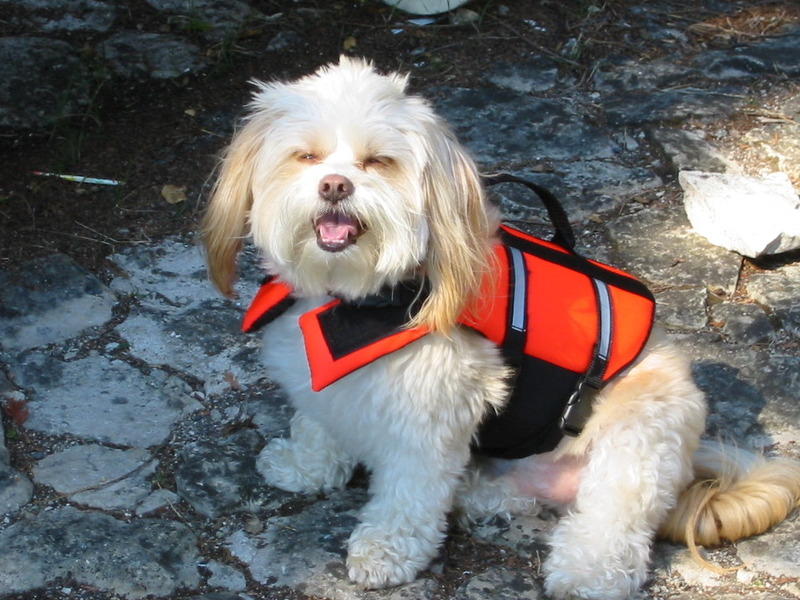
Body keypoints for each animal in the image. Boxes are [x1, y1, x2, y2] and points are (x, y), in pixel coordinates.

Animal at [203, 57, 800, 600]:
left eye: (379, 162)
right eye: (306, 156)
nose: (334, 186)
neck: (358, 293)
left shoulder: (429, 417)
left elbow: (409, 494)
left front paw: (385, 550)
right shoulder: (319, 380)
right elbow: (320, 425)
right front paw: (306, 467)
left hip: (640, 438)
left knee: (612, 521)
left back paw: (587, 573)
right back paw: (473, 492)